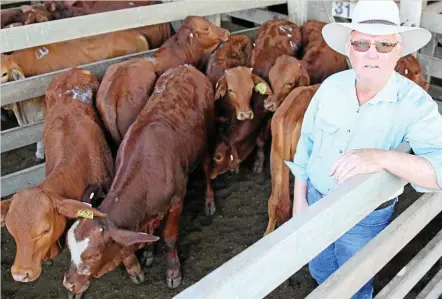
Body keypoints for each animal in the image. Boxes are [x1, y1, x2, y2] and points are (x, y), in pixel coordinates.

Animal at [61, 64, 214, 296]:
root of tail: (186, 67)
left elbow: (170, 237)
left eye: (93, 256)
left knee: (207, 167)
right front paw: (148, 253)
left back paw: (209, 201)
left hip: (207, 139)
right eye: (70, 248)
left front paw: (173, 271)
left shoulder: (177, 200)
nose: (69, 284)